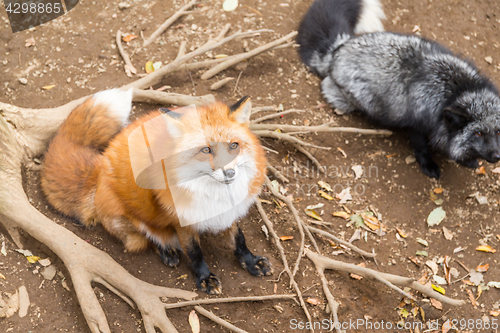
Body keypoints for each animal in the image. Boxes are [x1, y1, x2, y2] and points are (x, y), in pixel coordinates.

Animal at [40, 89, 272, 294]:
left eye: (234, 145)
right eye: (206, 150)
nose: (229, 172)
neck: (214, 194)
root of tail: (101, 167)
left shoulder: (229, 212)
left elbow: (239, 239)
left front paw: (251, 261)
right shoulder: (182, 220)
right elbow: (195, 252)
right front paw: (205, 278)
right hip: (134, 218)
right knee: (147, 238)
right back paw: (167, 251)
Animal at [298, 0, 500, 178]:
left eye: (498, 131)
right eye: (479, 133)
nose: (497, 156)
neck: (457, 91)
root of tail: (339, 47)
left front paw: (469, 160)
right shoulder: (417, 124)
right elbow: (422, 148)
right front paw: (429, 165)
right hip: (357, 100)